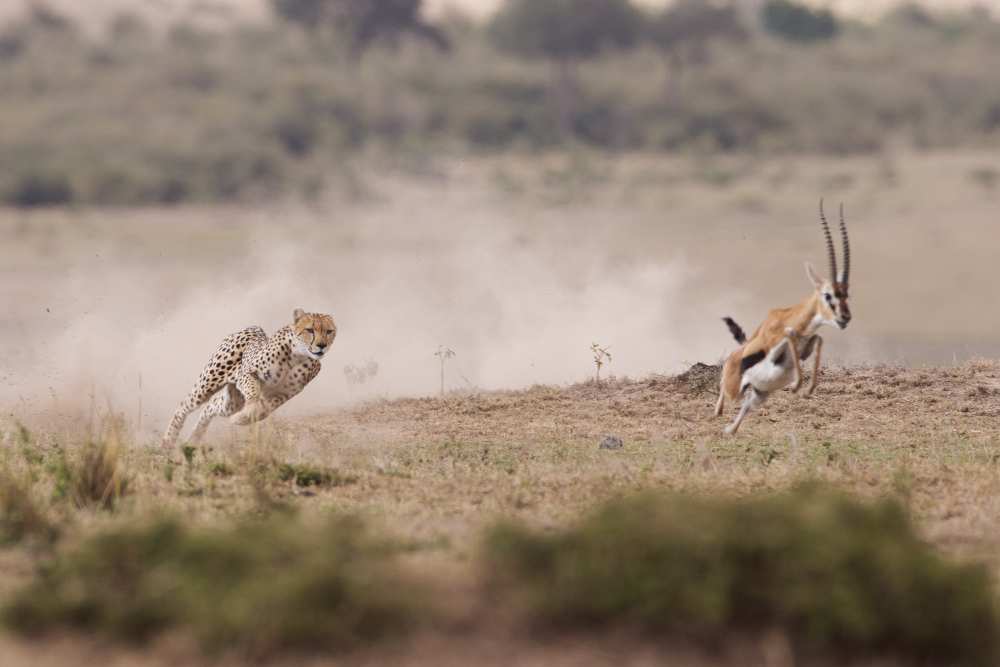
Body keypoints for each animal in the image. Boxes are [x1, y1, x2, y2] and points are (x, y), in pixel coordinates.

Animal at [162, 310, 338, 448]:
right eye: (310, 330)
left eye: (329, 331)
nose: (322, 345)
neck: (298, 356)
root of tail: (253, 328)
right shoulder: (247, 374)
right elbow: (253, 393)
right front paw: (249, 409)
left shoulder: (282, 394)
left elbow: (264, 410)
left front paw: (242, 418)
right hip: (208, 383)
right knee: (184, 406)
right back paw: (168, 441)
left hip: (231, 403)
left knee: (210, 407)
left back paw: (194, 438)